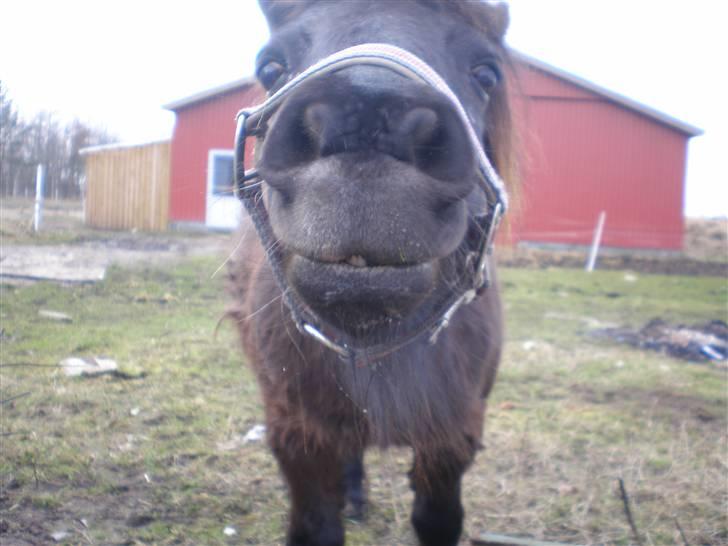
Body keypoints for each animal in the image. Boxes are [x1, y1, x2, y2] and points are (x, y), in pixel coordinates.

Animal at [227, 1, 516, 544]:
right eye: (270, 66)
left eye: (486, 72)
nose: (364, 116)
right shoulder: (300, 434)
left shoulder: (453, 436)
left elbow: (437, 519)